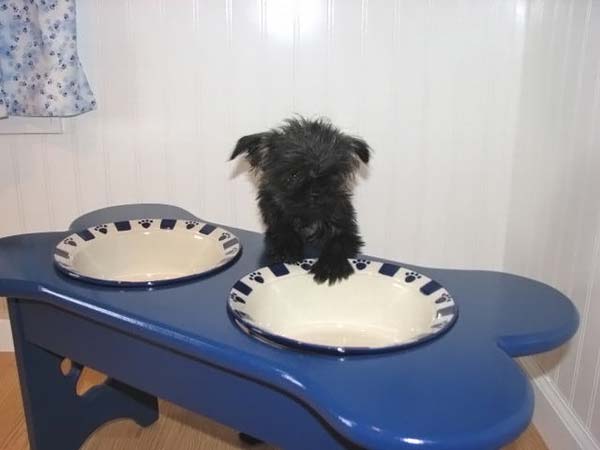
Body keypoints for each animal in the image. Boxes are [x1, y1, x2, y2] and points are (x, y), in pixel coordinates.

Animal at [230, 116, 371, 284]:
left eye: (332, 176)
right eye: (293, 175)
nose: (316, 191)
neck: (307, 218)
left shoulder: (348, 232)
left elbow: (337, 242)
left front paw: (330, 265)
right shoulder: (275, 220)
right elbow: (283, 231)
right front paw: (286, 247)